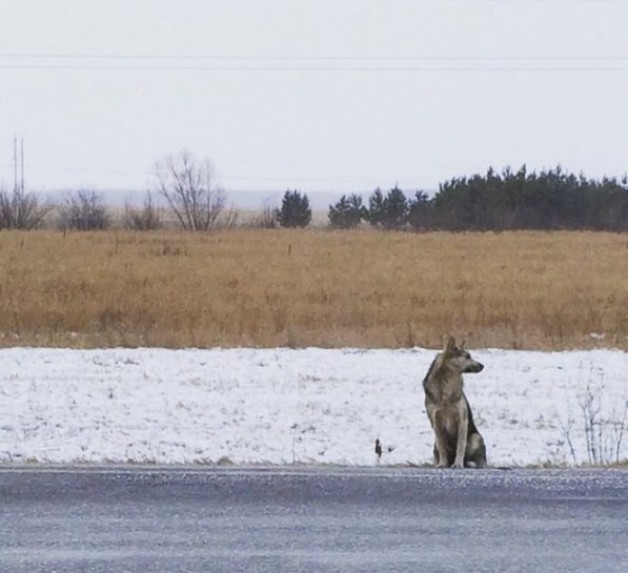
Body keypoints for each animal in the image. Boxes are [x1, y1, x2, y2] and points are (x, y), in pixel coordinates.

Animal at [422, 336, 486, 470]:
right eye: (467, 356)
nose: (483, 365)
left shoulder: (462, 420)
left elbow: (460, 446)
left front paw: (458, 464)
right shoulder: (436, 422)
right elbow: (442, 447)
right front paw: (442, 464)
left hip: (475, 438)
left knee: (478, 459)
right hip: (434, 443)